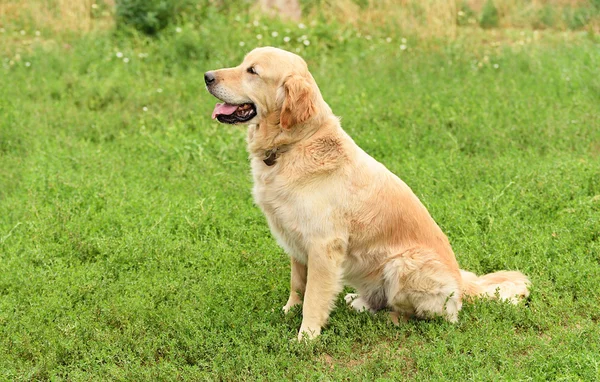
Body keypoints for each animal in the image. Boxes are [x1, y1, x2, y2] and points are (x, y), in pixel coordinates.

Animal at [205, 47, 528, 340]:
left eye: (252, 71)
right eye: (242, 63)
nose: (207, 76)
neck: (295, 143)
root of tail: (461, 285)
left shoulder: (323, 245)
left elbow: (313, 297)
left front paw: (306, 337)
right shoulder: (294, 240)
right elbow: (298, 285)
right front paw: (288, 311)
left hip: (403, 264)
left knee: (422, 315)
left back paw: (389, 319)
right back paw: (357, 302)